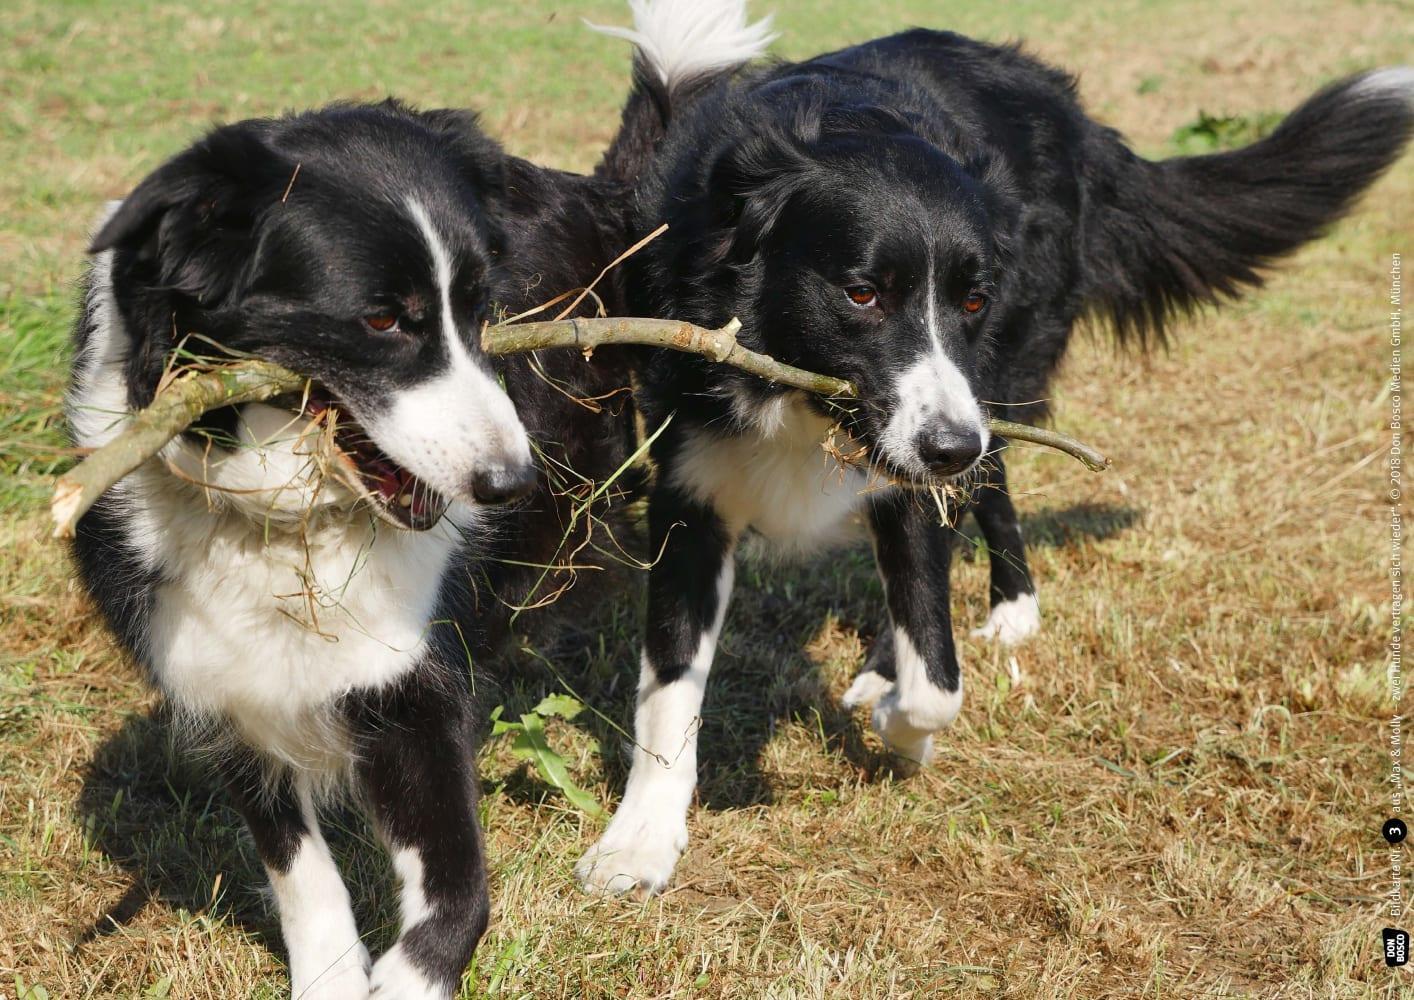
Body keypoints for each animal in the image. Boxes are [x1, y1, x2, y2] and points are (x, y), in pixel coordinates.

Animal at [63, 3, 774, 995]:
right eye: (380, 319)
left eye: (483, 310)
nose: (510, 483)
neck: (288, 518)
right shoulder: (225, 683)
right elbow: (303, 877)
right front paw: (331, 976)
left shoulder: (415, 682)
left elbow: (458, 892)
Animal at [576, 31, 1414, 893]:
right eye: (862, 294)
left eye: (972, 301)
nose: (950, 448)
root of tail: (1059, 101)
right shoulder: (691, 483)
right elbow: (669, 683)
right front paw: (639, 841)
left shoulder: (925, 460)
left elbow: (937, 680)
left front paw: (900, 721)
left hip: (1000, 379)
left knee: (993, 493)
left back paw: (999, 614)